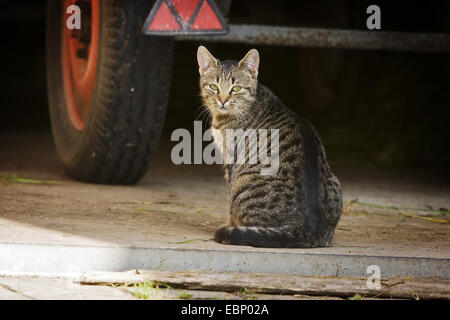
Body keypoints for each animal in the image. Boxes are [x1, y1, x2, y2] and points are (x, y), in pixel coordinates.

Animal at [197, 45, 342, 248]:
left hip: (244, 183)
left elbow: (228, 202)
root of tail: (302, 230)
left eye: (236, 88)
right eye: (213, 87)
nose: (223, 100)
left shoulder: (231, 162)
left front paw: (227, 224)